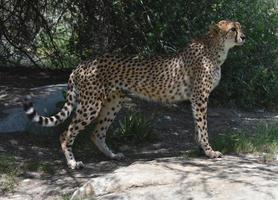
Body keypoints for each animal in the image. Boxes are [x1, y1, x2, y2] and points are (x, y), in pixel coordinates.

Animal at [23, 19, 245, 169]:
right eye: (232, 29)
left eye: (240, 27)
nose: (244, 37)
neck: (216, 48)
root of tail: (82, 63)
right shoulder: (199, 97)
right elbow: (203, 126)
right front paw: (209, 151)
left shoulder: (195, 98)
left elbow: (198, 127)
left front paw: (200, 149)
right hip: (91, 104)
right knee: (65, 133)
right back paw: (73, 163)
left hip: (114, 102)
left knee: (97, 133)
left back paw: (112, 156)